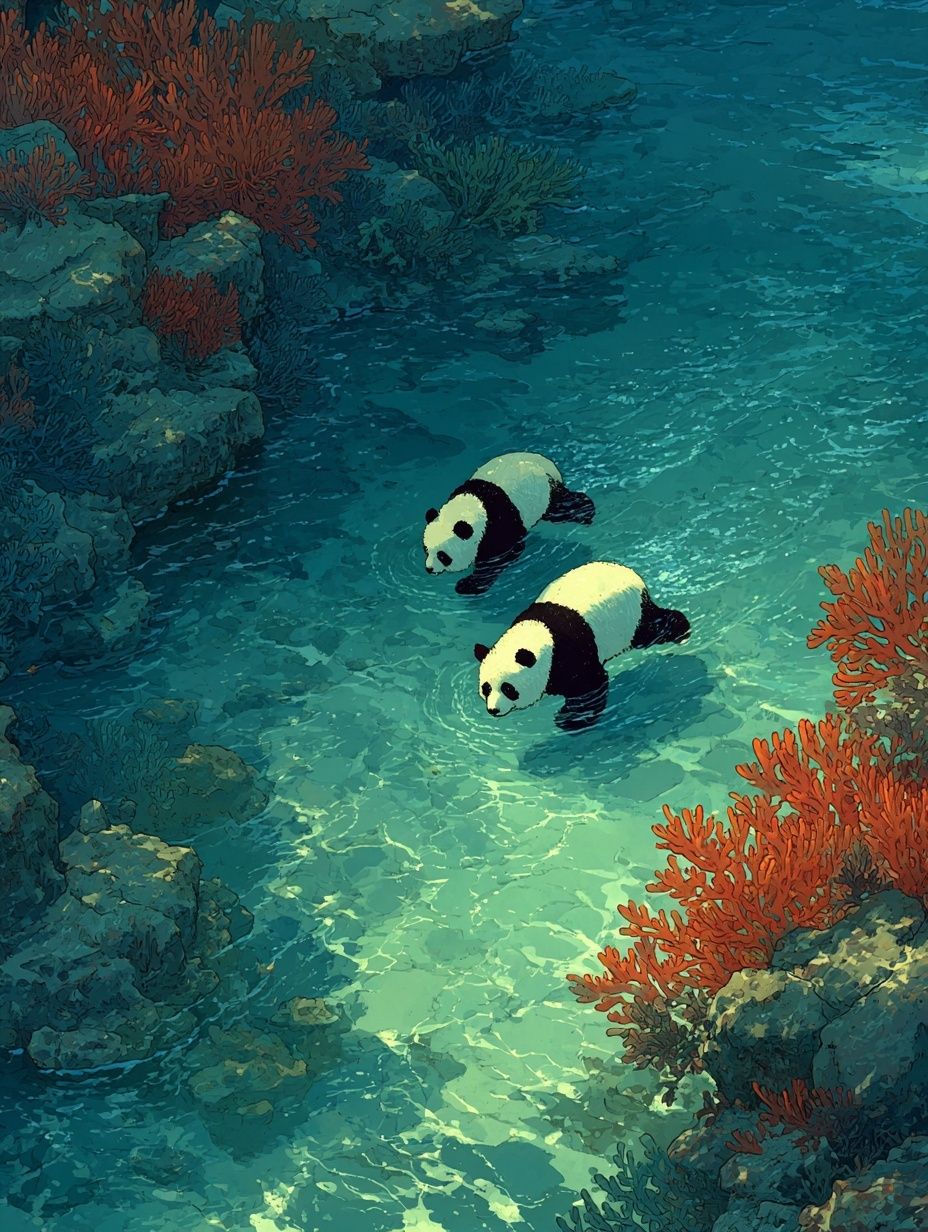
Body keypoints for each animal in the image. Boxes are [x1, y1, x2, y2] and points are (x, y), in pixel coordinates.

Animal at [423, 451, 595, 596]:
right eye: (426, 550)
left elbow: (499, 558)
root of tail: (548, 464)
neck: (470, 506)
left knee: (561, 507)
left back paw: (586, 511)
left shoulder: (499, 525)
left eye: (443, 556)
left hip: (543, 495)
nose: (429, 568)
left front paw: (466, 586)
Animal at [473, 561, 690, 730]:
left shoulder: (570, 653)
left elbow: (590, 686)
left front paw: (568, 721)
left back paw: (681, 630)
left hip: (631, 616)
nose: (493, 710)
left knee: (652, 628)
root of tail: (631, 573)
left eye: (508, 688)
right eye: (486, 688)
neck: (537, 635)